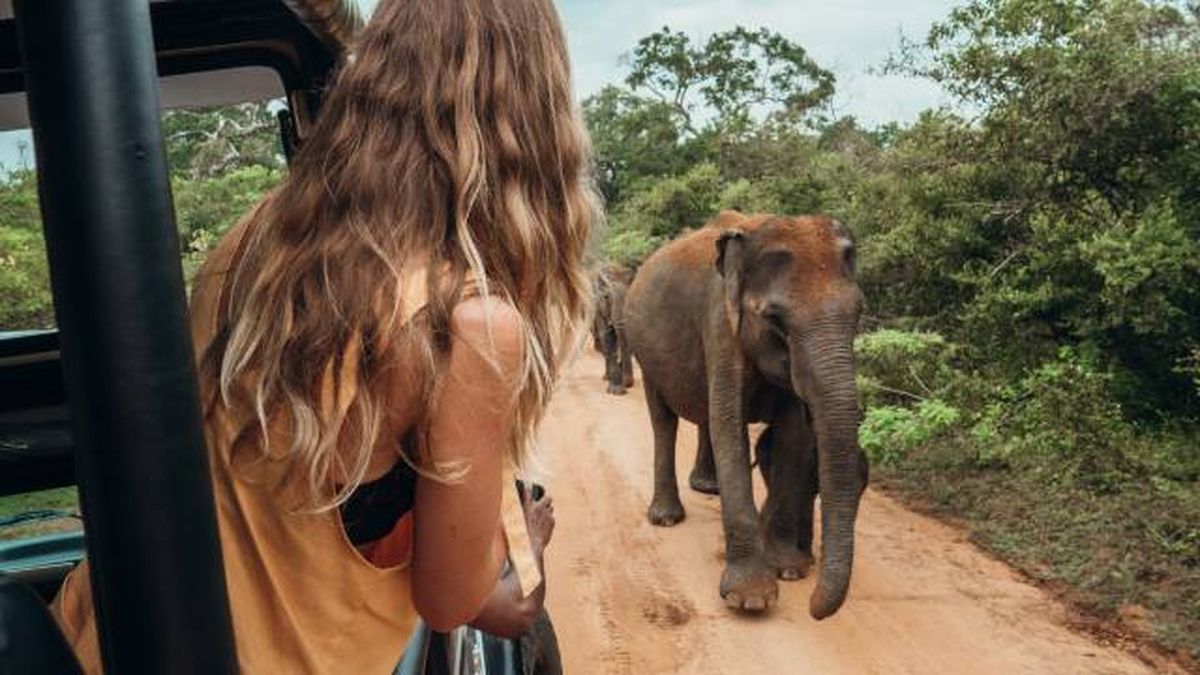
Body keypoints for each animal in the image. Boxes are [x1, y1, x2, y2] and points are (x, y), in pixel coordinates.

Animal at [591, 264, 635, 395]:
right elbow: (607, 338)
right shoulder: (599, 308)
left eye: (629, 295)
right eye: (607, 297)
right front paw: (617, 391)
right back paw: (607, 377)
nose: (628, 383)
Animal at [624, 211, 869, 620]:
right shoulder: (720, 326)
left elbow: (793, 435)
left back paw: (708, 488)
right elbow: (730, 424)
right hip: (644, 351)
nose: (814, 610)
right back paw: (666, 517)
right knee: (663, 421)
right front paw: (750, 598)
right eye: (775, 318)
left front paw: (789, 569)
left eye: (859, 312)